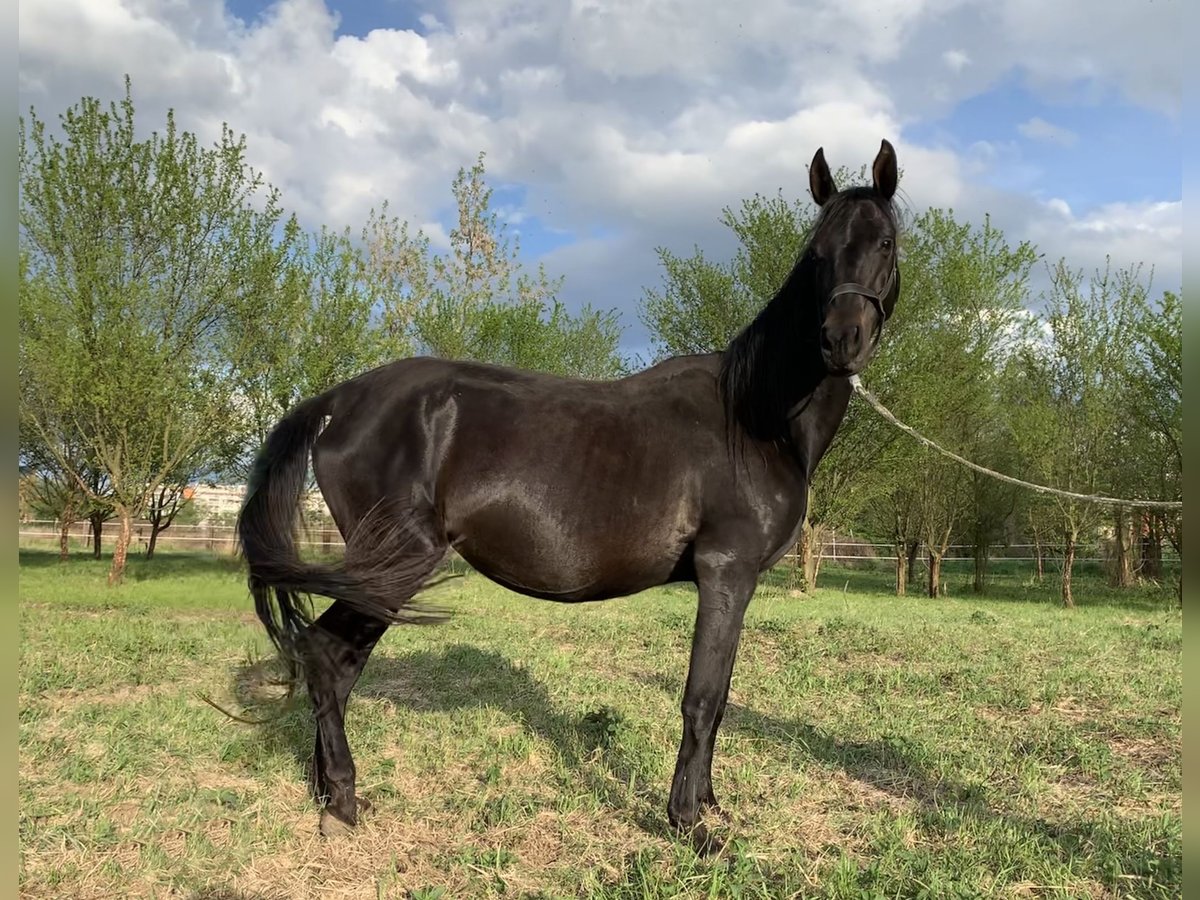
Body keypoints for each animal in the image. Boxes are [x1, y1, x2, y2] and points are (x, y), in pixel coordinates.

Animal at [238, 137, 902, 849]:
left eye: (885, 242)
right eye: (817, 252)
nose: (842, 340)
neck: (755, 416)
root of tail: (341, 398)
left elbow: (720, 699)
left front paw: (711, 804)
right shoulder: (728, 572)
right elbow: (703, 698)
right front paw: (690, 825)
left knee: (329, 662)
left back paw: (326, 791)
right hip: (394, 563)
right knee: (328, 659)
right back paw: (342, 801)